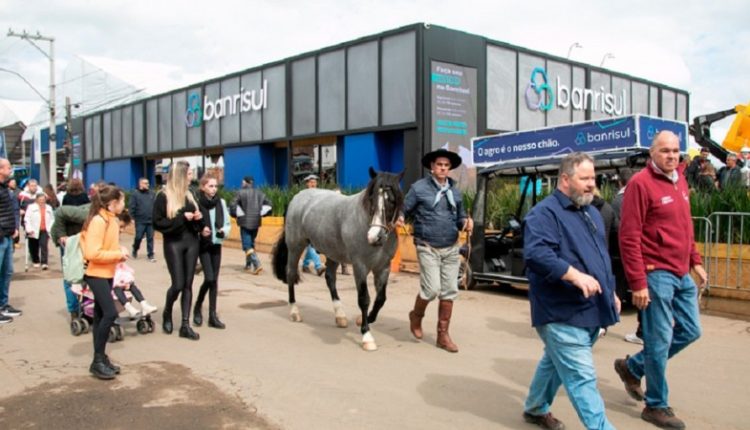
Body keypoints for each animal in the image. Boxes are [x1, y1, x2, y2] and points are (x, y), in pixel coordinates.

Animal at [274, 166, 406, 352]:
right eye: (372, 199)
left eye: (392, 201)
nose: (375, 237)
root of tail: (297, 197)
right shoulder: (360, 266)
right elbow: (364, 299)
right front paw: (366, 335)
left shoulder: (383, 267)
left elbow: (381, 299)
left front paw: (364, 319)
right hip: (295, 247)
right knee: (291, 275)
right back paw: (294, 312)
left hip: (333, 253)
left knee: (330, 278)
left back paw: (340, 316)